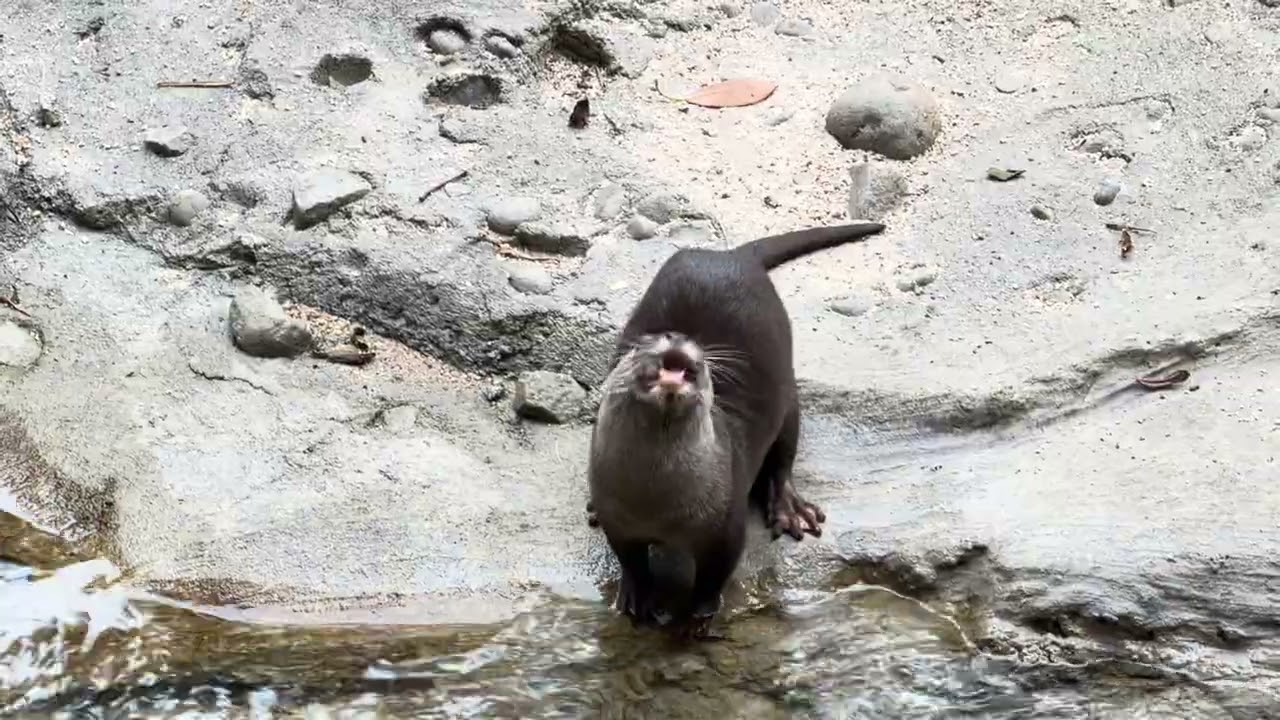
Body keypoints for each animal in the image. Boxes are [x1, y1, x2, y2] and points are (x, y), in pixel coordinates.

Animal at [587, 222, 885, 637]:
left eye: (695, 347)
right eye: (640, 346)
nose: (678, 337)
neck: (656, 501)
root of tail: (732, 255)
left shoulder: (726, 523)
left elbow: (713, 577)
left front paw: (696, 619)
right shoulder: (618, 516)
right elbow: (630, 559)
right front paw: (635, 597)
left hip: (789, 397)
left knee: (784, 454)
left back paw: (790, 510)